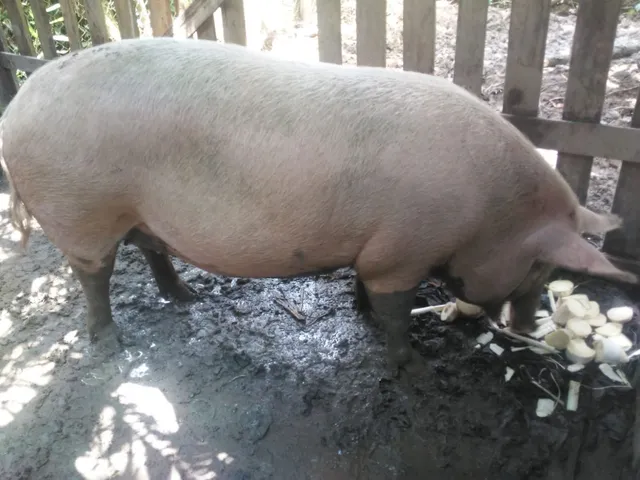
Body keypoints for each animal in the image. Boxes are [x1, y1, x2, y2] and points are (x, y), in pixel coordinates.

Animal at [0, 37, 636, 372]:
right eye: (539, 267)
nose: (525, 327)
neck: (486, 213)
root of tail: (17, 107)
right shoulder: (402, 248)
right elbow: (395, 306)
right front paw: (407, 362)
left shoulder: (378, 246)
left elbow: (366, 287)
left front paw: (362, 316)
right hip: (80, 210)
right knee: (94, 276)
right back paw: (110, 344)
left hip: (135, 211)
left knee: (151, 248)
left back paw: (188, 298)